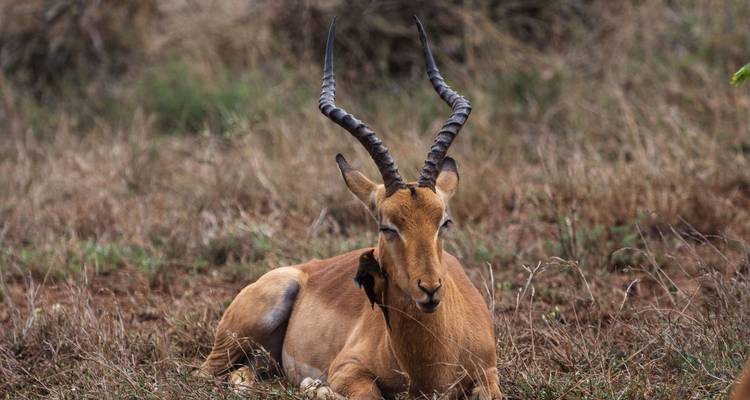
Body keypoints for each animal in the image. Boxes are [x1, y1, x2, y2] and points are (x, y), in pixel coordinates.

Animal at [197, 16, 501, 399]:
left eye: (444, 222)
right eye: (386, 226)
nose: (430, 289)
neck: (431, 362)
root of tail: (304, 269)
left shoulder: (489, 374)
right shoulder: (348, 369)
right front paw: (317, 386)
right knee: (208, 375)